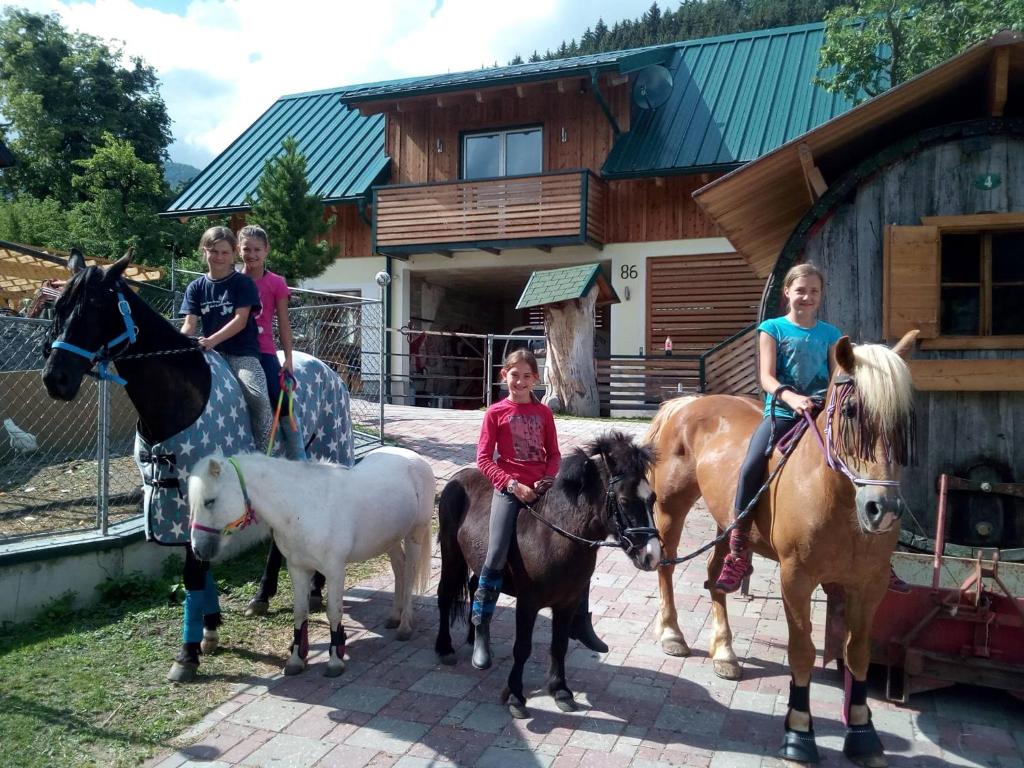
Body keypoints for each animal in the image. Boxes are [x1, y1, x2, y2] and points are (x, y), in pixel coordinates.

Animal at [40, 249, 352, 684]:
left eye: (96, 307)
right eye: (59, 307)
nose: (56, 378)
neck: (181, 392)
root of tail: (330, 372)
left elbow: (193, 570)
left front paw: (187, 653)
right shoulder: (170, 496)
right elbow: (201, 567)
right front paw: (209, 628)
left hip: (330, 451)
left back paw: (315, 587)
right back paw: (265, 594)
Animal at [190, 448, 434, 675]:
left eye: (209, 501)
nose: (198, 550)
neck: (303, 507)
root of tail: (416, 459)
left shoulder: (335, 571)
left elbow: (334, 612)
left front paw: (335, 662)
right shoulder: (298, 569)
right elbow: (300, 612)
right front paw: (296, 661)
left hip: (415, 534)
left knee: (410, 574)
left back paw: (404, 625)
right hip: (390, 541)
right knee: (399, 569)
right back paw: (394, 617)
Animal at [434, 434, 659, 720]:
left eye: (652, 499)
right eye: (624, 501)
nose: (652, 556)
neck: (553, 535)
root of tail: (457, 478)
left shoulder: (567, 603)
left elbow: (559, 645)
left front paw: (561, 691)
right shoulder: (527, 604)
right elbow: (523, 648)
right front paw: (515, 697)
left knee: (476, 588)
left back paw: (478, 641)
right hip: (452, 552)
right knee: (445, 594)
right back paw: (445, 648)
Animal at [643, 331, 917, 768]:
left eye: (905, 419)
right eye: (851, 410)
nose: (883, 509)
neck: (836, 497)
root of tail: (686, 404)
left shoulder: (868, 585)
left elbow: (858, 653)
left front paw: (862, 735)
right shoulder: (797, 579)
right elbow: (802, 651)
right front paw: (799, 733)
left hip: (728, 523)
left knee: (715, 577)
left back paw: (725, 653)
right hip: (672, 507)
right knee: (667, 567)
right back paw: (672, 634)